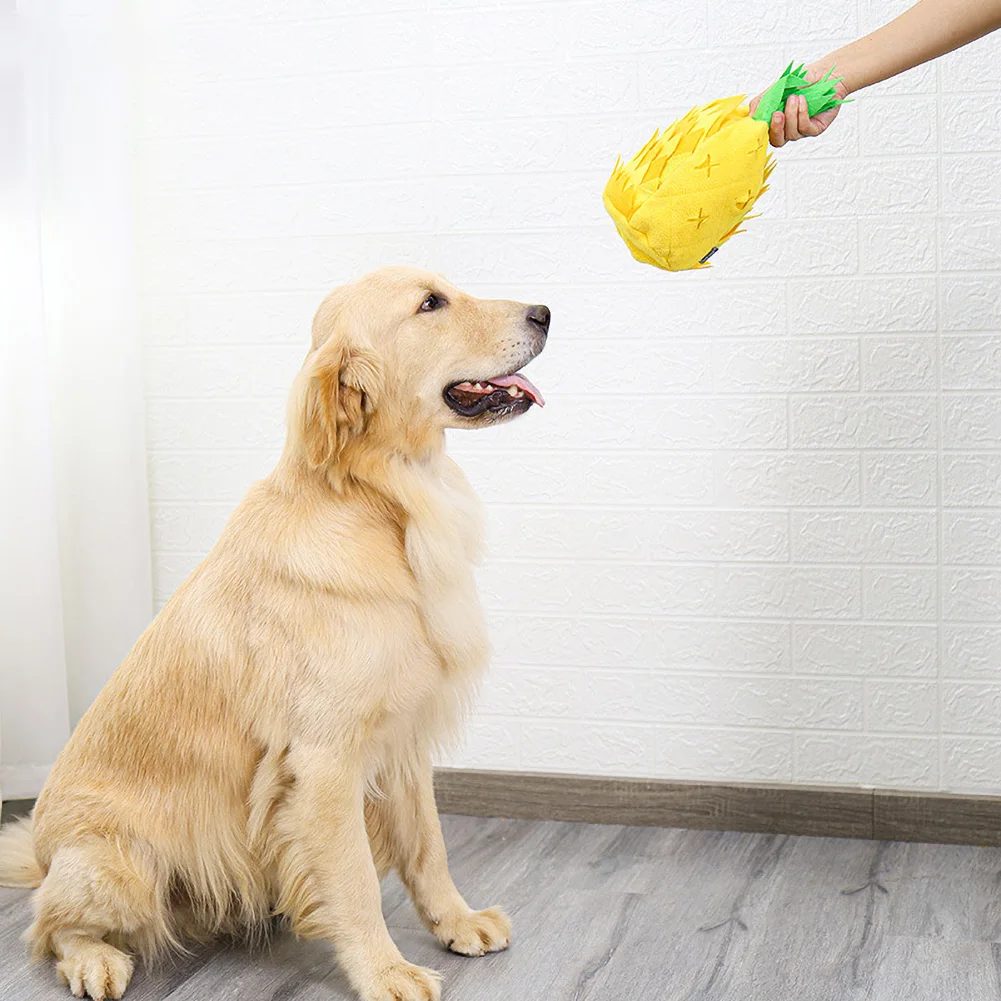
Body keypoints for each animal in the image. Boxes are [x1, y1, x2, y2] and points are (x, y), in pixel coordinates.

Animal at [0, 266, 548, 1001]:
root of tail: (41, 851)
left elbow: (428, 846)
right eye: (430, 304)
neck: (386, 503)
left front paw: (456, 922)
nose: (545, 312)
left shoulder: (403, 739)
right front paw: (385, 970)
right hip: (119, 862)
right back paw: (95, 961)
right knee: (49, 925)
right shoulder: (324, 761)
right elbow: (354, 881)